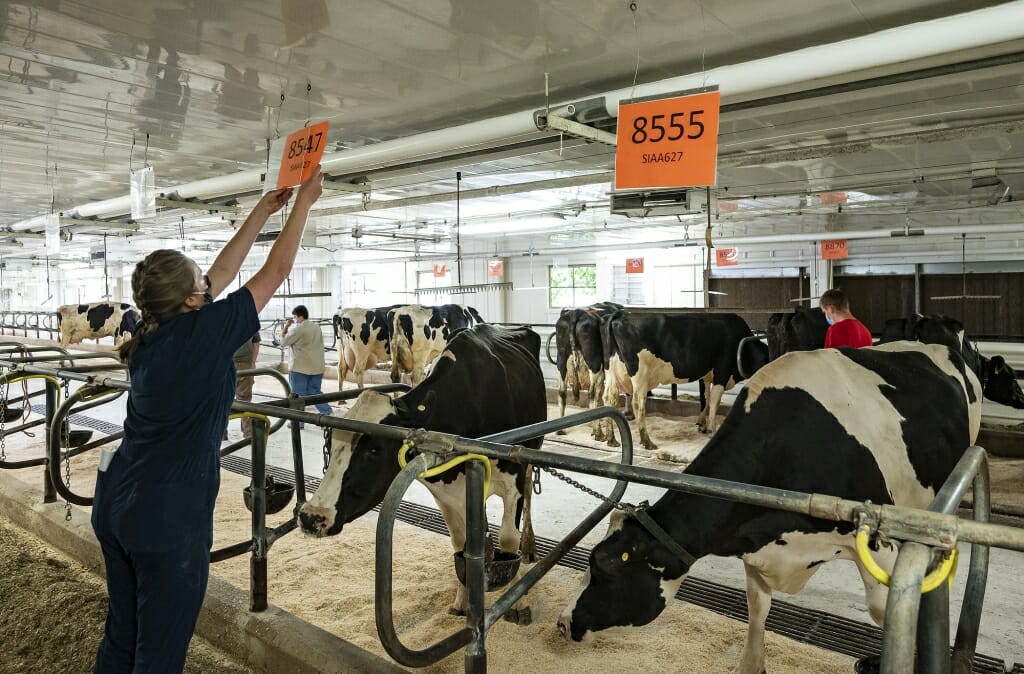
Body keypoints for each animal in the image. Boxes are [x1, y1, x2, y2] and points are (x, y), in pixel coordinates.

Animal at [299, 323, 544, 622]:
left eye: (374, 449)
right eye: (331, 442)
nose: (311, 517)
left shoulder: (513, 477)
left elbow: (509, 539)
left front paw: (517, 604)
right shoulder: (446, 491)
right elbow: (461, 542)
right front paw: (462, 600)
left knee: (529, 495)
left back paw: (529, 547)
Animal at [557, 301, 618, 440]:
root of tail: (576, 312)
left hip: (561, 359)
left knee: (562, 392)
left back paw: (560, 430)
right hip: (594, 363)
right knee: (592, 393)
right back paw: (598, 433)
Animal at [561, 342, 983, 671]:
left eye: (602, 567)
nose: (563, 623)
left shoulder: (879, 548)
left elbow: (884, 611)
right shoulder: (755, 541)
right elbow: (757, 607)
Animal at [598, 311, 770, 448]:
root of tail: (620, 315)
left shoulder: (706, 375)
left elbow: (705, 399)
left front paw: (702, 425)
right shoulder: (722, 373)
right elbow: (714, 403)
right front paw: (713, 430)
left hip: (611, 372)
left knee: (610, 398)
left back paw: (611, 440)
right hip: (640, 375)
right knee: (637, 403)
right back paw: (647, 442)